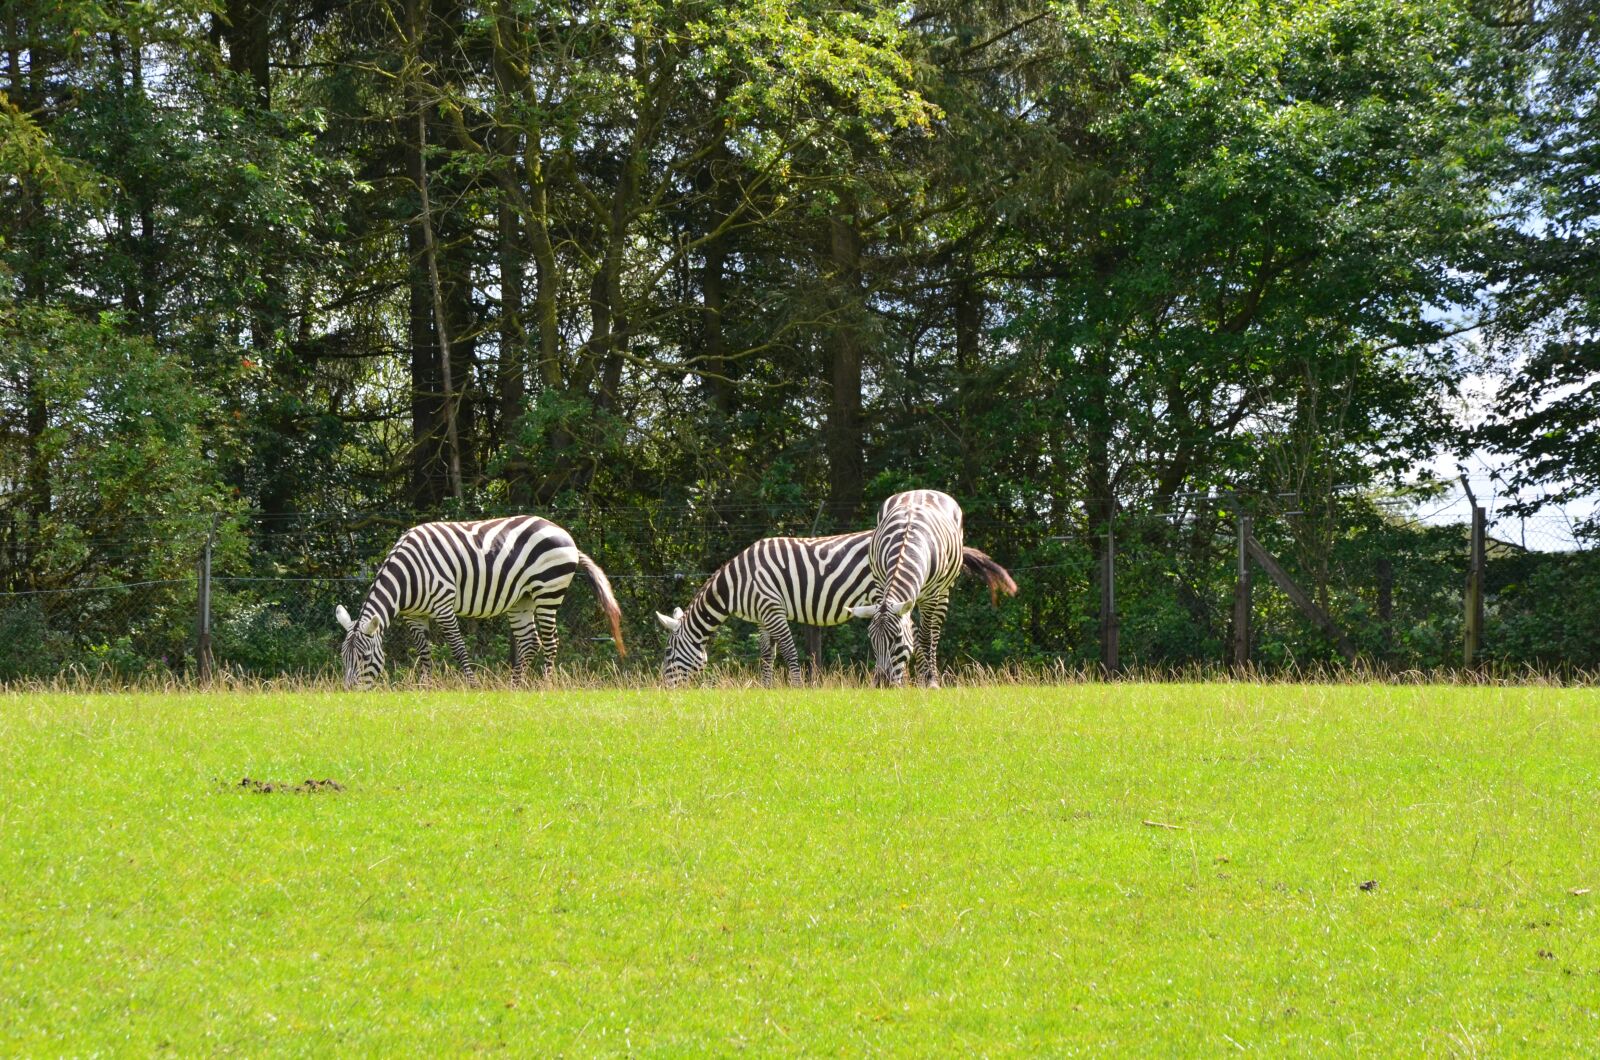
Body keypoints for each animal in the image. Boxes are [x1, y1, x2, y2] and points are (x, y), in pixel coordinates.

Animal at [334, 515, 624, 689]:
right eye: (343, 657)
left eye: (365, 657)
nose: (350, 694)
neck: (408, 577)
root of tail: (563, 532)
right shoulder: (414, 616)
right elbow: (424, 652)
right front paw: (425, 687)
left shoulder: (443, 605)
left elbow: (458, 648)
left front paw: (472, 686)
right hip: (522, 599)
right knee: (530, 641)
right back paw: (514, 688)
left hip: (548, 590)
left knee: (550, 641)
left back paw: (545, 685)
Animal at [657, 527, 1014, 688]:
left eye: (669, 653)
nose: (664, 690)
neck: (736, 585)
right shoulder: (762, 616)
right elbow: (766, 653)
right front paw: (766, 688)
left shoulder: (772, 607)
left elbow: (789, 651)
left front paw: (797, 688)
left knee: (922, 633)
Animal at [848, 489, 1015, 687]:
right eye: (872, 639)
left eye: (897, 639)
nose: (882, 684)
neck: (906, 542)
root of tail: (919, 490)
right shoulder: (881, 586)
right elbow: (915, 637)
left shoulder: (931, 596)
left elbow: (925, 637)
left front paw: (929, 681)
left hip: (943, 592)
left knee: (933, 633)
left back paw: (931, 677)